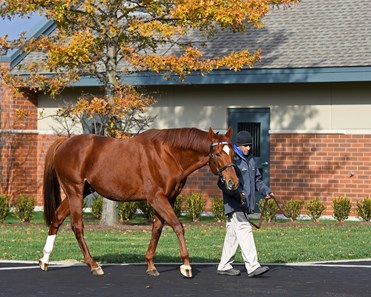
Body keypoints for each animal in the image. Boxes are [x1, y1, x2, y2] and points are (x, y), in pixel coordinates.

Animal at [39, 126, 240, 276]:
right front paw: (186, 265)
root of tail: (64, 142)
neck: (167, 154)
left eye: (233, 153)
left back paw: (45, 260)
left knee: (57, 219)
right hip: (75, 191)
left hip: (80, 192)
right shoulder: (156, 197)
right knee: (77, 226)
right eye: (218, 153)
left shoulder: (167, 198)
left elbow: (157, 229)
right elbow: (177, 225)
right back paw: (93, 265)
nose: (233, 182)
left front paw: (150, 265)